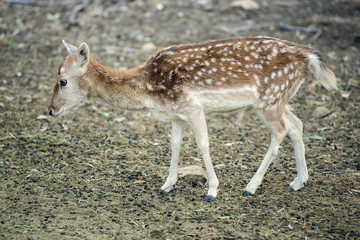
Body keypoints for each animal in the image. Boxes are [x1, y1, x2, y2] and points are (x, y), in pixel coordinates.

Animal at [47, 37, 338, 201]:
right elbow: (175, 145)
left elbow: (203, 145)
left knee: (279, 131)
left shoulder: (193, 107)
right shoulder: (176, 114)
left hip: (270, 98)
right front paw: (166, 185)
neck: (148, 89)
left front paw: (212, 190)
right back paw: (298, 181)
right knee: (297, 125)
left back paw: (251, 187)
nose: (50, 110)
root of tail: (310, 57)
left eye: (62, 81)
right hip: (278, 99)